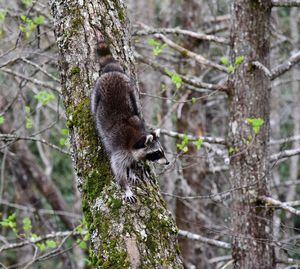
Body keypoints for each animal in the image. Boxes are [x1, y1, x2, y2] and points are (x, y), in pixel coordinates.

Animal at [90, 31, 169, 201]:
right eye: (157, 153)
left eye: (162, 150)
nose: (167, 162)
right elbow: (118, 168)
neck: (137, 138)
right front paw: (125, 187)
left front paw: (132, 169)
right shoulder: (120, 150)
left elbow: (133, 162)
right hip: (96, 93)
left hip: (130, 87)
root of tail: (111, 71)